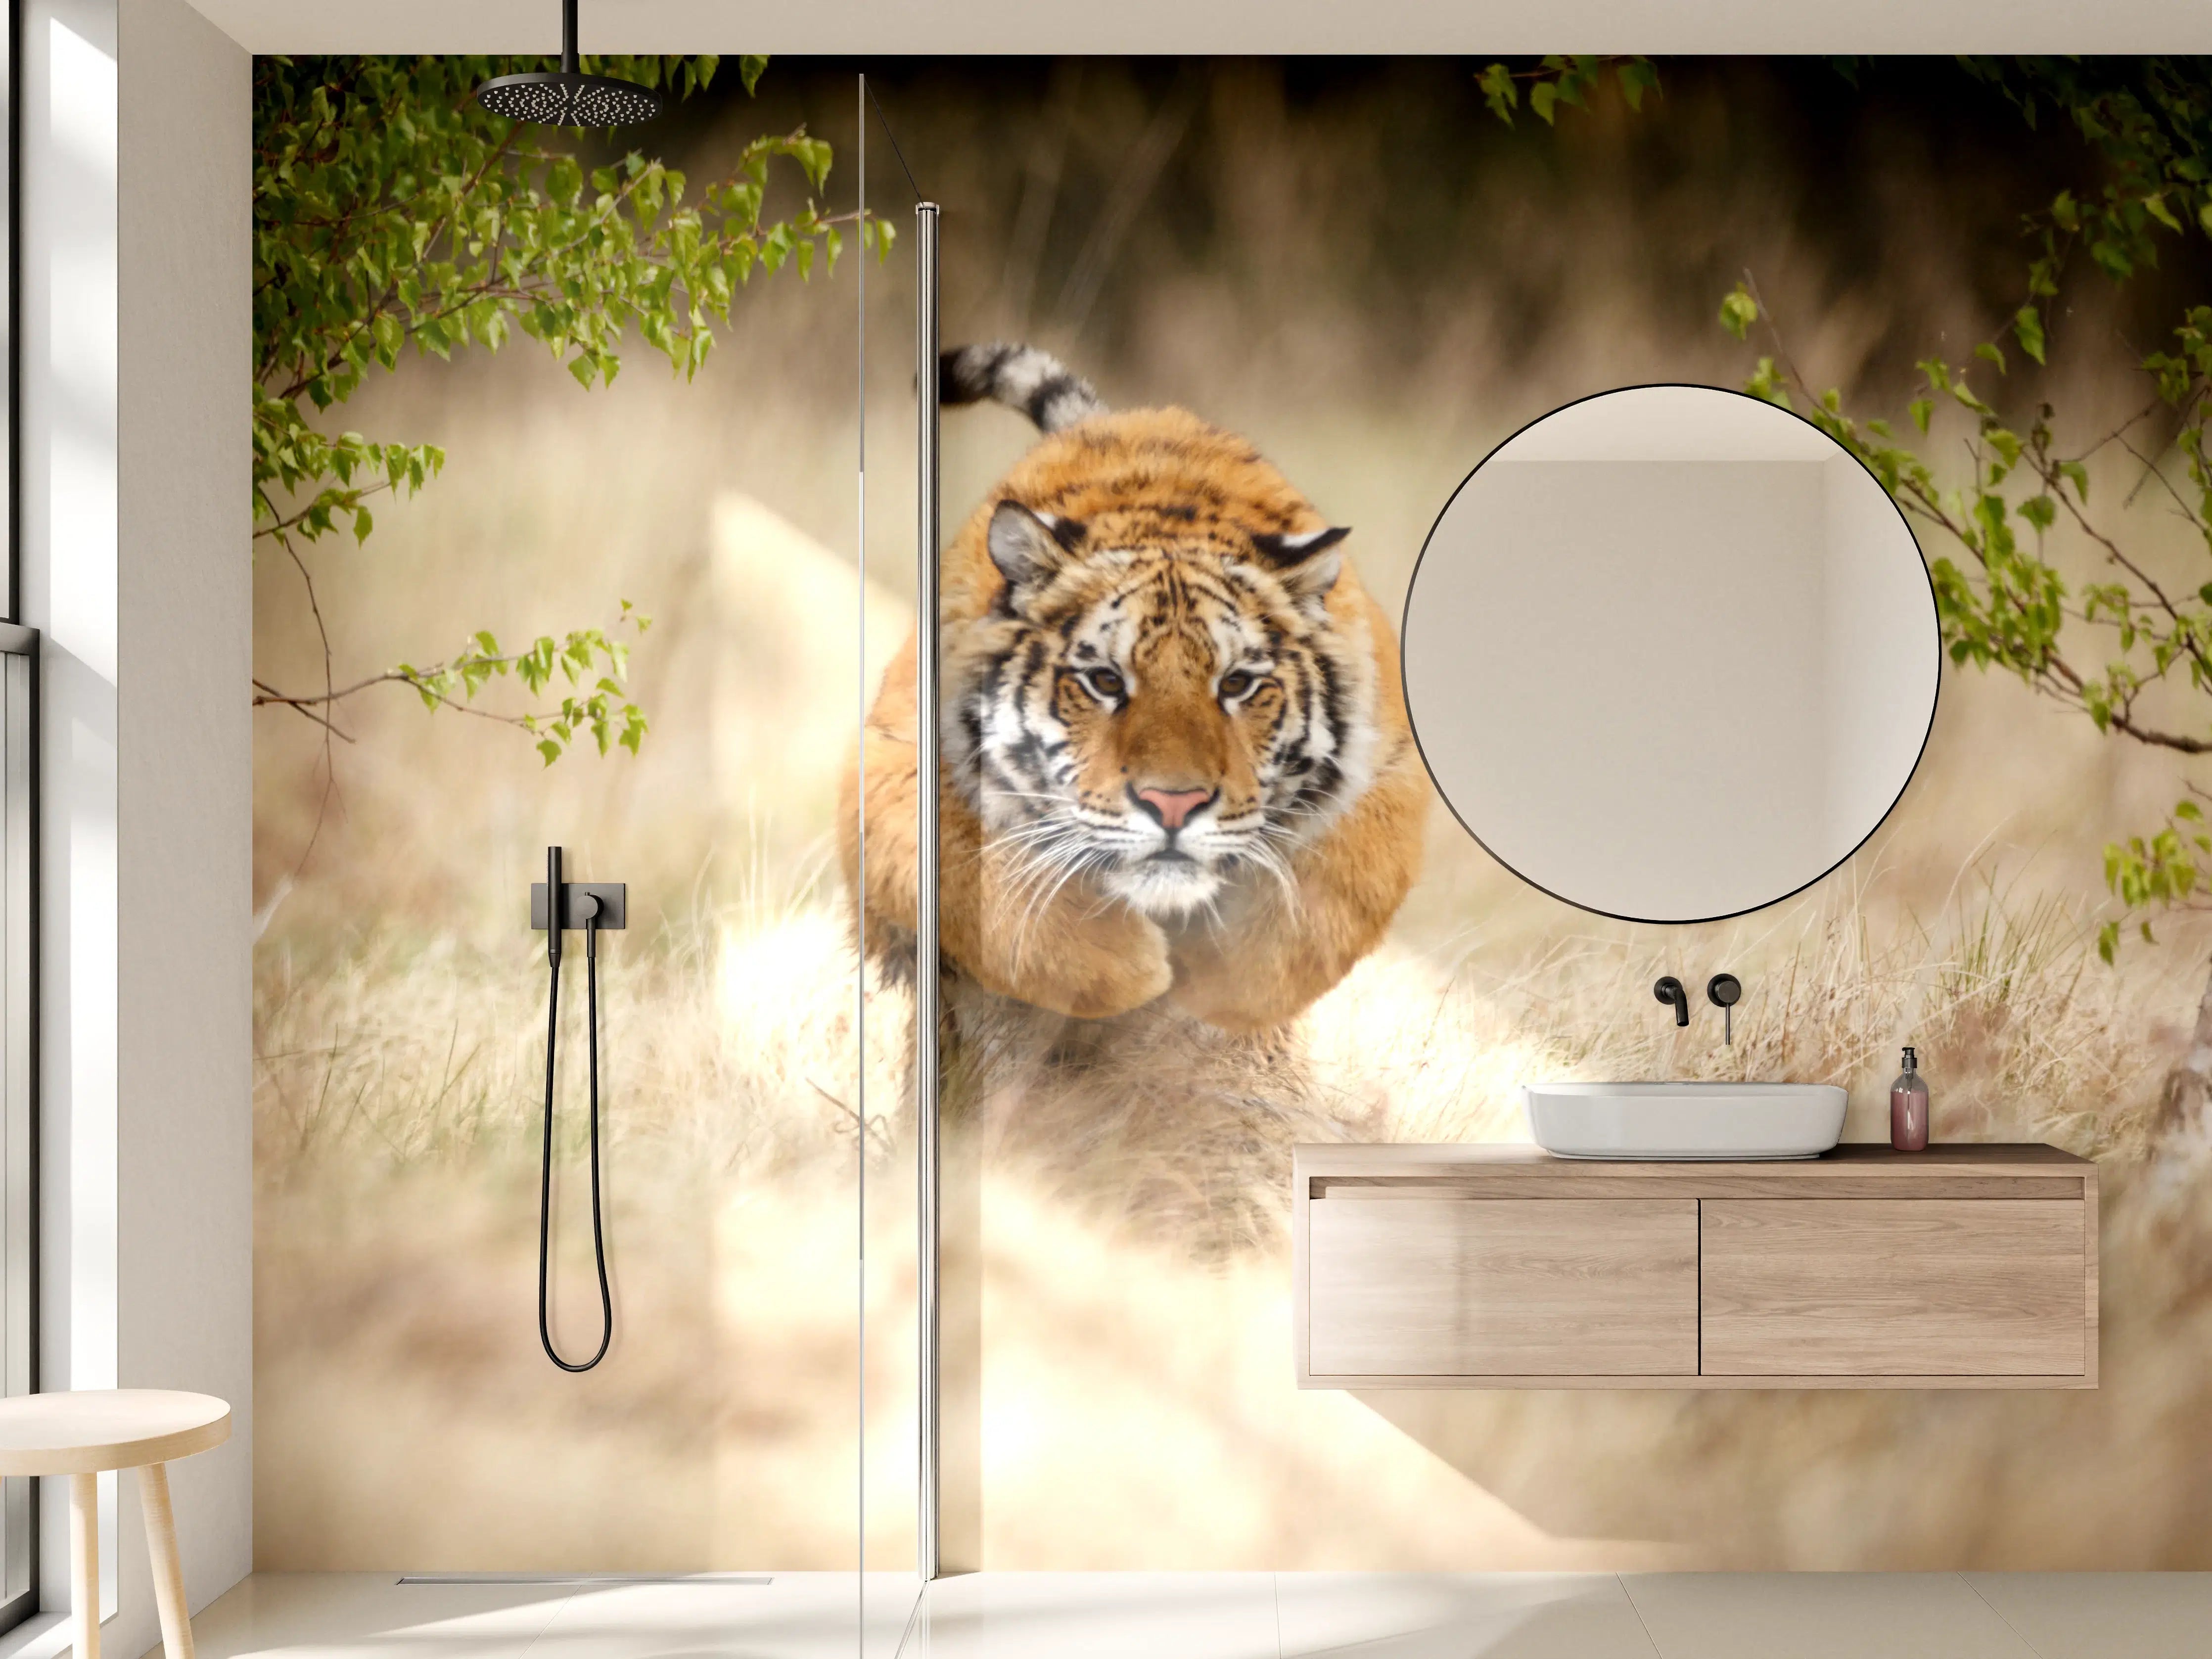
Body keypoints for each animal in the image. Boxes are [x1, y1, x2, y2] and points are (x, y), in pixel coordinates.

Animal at [839, 343, 1429, 1034]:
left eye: (1236, 683)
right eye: (1103, 681)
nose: (1173, 806)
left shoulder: (1390, 769)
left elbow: (1332, 898)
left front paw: (1221, 986)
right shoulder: (897, 759)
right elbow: (975, 876)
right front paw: (1129, 968)